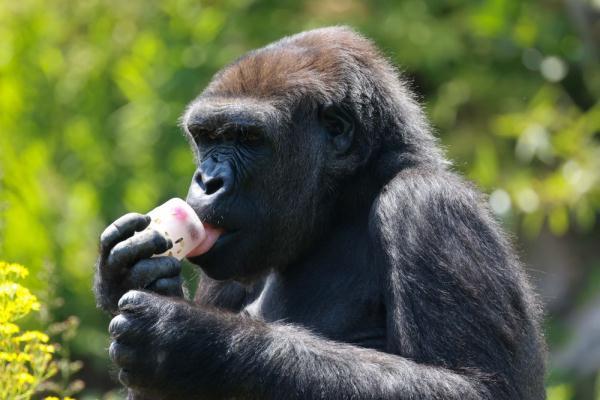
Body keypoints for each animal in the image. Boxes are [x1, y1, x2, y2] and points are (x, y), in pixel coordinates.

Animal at [95, 26, 548, 398]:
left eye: (248, 138)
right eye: (206, 137)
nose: (207, 181)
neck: (345, 205)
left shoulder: (429, 206)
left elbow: (475, 386)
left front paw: (192, 343)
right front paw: (130, 275)